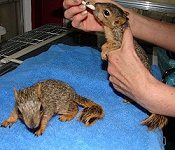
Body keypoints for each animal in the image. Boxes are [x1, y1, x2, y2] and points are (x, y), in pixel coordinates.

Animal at [93, 2, 168, 130]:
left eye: (106, 12)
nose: (95, 3)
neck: (113, 29)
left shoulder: (119, 42)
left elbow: (113, 45)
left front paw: (105, 52)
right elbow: (105, 44)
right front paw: (103, 51)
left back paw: (128, 100)